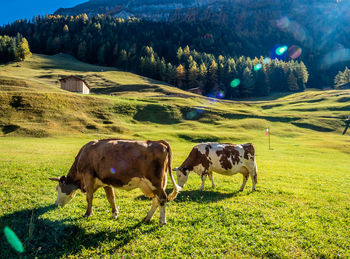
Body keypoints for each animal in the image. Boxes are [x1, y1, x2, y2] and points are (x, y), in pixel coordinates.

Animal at [49, 138, 180, 225]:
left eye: (57, 188)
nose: (55, 204)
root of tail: (158, 142)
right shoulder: (105, 181)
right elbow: (111, 197)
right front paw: (114, 213)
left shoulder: (88, 176)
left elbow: (89, 197)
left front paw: (88, 213)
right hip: (157, 183)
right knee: (156, 200)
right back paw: (147, 218)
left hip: (155, 182)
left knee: (162, 198)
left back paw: (162, 221)